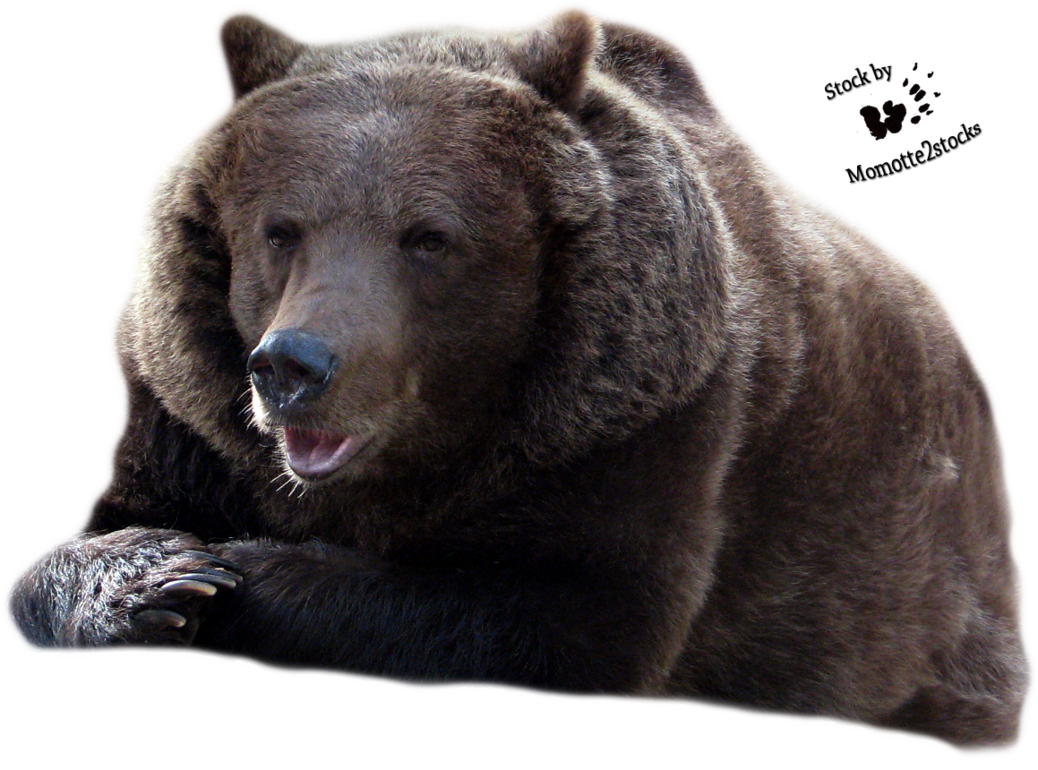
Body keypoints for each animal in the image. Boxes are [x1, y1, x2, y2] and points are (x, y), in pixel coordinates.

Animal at [1, 1, 1032, 758]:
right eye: (280, 229)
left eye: (428, 237)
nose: (294, 365)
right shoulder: (184, 411)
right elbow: (52, 558)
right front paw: (160, 573)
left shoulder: (645, 415)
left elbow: (550, 614)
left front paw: (236, 573)